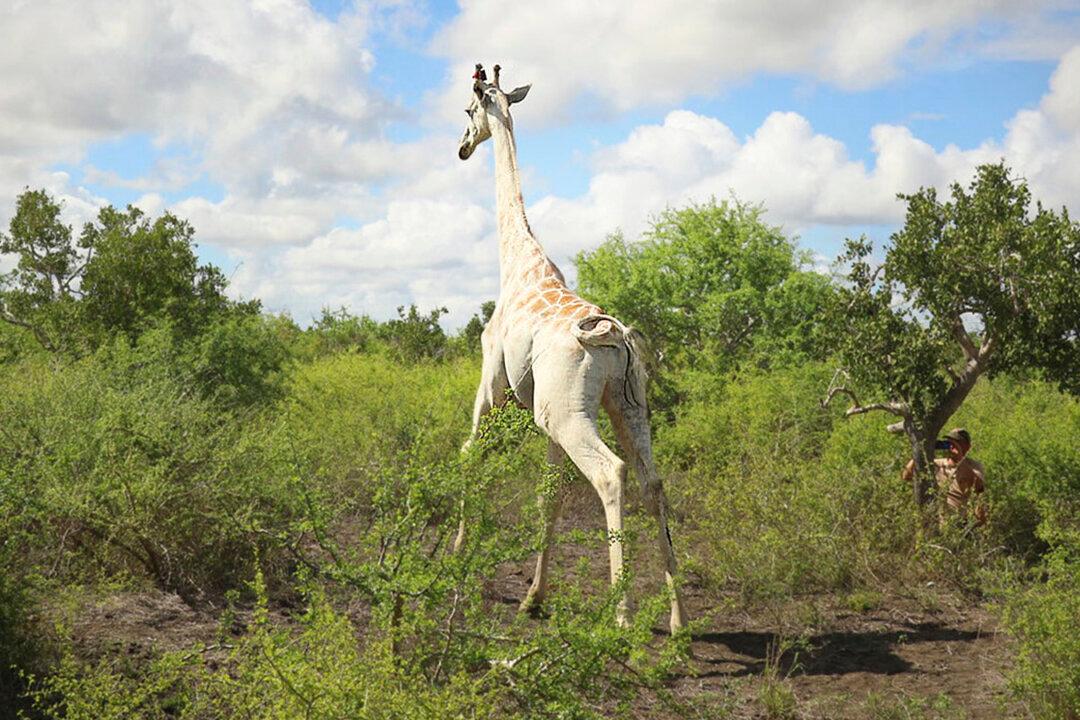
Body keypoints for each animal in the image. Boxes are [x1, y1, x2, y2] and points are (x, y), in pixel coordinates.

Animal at [456, 64, 686, 633]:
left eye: (469, 111)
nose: (462, 147)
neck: (516, 261)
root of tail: (615, 338)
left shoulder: (493, 388)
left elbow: (470, 454)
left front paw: (455, 559)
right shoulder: (542, 417)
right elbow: (548, 496)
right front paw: (533, 598)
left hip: (569, 412)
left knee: (611, 474)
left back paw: (622, 617)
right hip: (624, 404)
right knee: (653, 481)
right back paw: (678, 622)